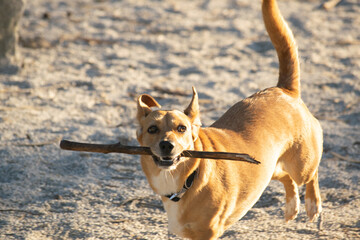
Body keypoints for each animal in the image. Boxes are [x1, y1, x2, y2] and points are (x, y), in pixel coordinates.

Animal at [135, 0, 324, 239]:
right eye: (152, 129)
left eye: (182, 128)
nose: (167, 145)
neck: (188, 177)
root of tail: (283, 90)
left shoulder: (208, 232)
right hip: (267, 169)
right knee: (286, 177)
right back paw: (291, 207)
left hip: (302, 164)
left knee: (311, 173)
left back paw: (312, 204)